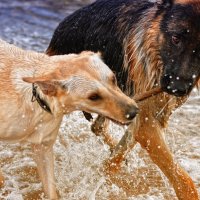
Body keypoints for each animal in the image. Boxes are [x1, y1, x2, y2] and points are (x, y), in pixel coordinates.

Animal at [0, 38, 138, 198]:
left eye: (113, 79)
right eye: (93, 97)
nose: (134, 111)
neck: (37, 100)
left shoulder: (43, 148)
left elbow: (51, 190)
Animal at [47, 0, 200, 199]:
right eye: (175, 39)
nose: (177, 88)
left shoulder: (148, 117)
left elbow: (116, 157)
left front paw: (106, 171)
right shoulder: (146, 121)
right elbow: (184, 181)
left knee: (98, 127)